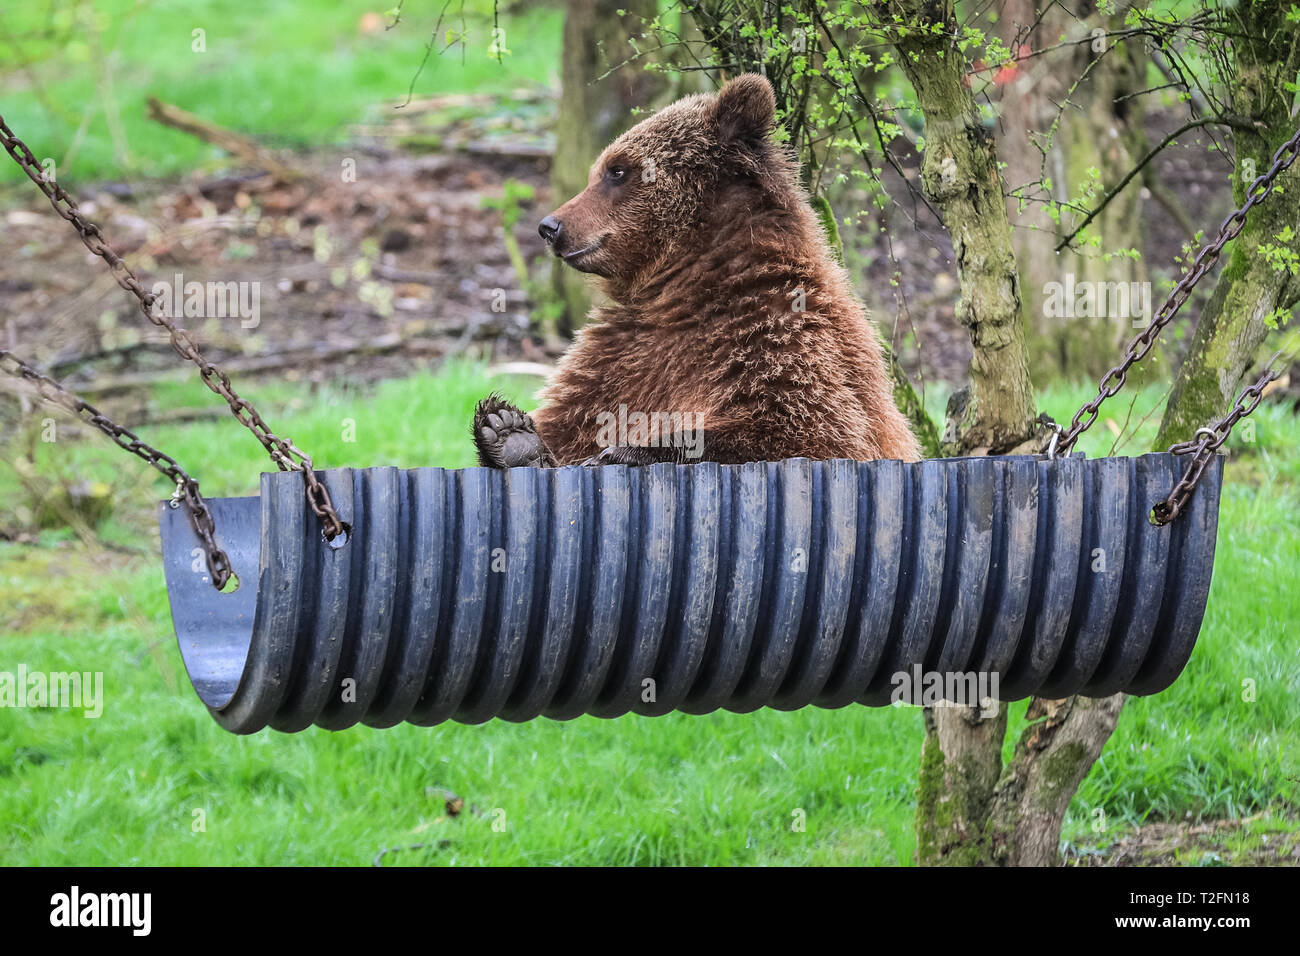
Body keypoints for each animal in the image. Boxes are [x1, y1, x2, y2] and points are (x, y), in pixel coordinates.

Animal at [473, 72, 920, 468]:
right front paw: (510, 432)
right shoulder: (620, 354)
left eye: (617, 170)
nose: (550, 226)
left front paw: (628, 448)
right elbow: (570, 421)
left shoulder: (781, 337)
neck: (683, 288)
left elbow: (808, 430)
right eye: (601, 171)